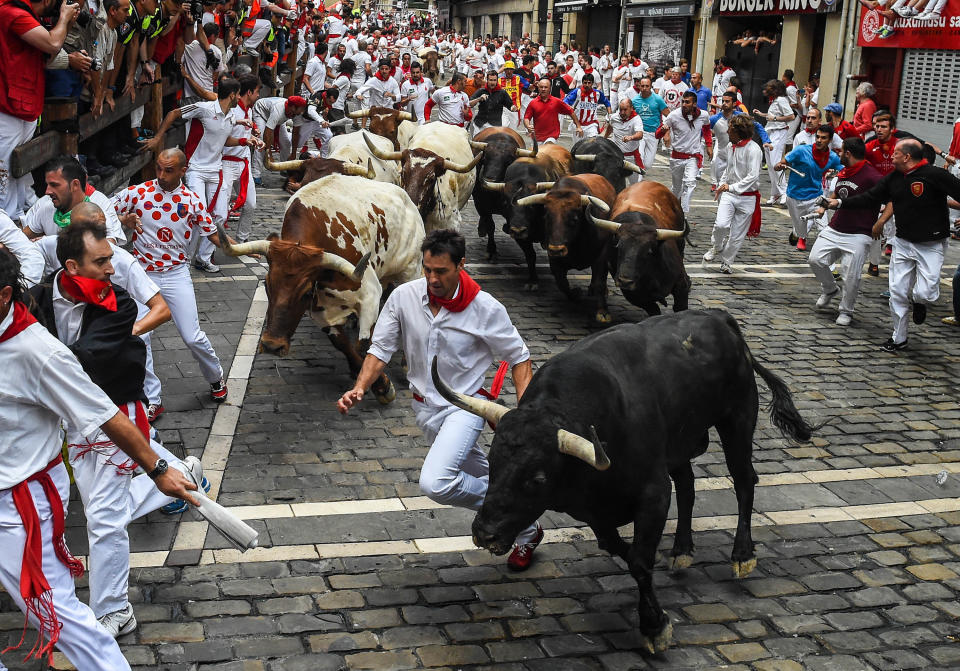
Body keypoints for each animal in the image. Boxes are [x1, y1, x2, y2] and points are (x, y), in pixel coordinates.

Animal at [436, 312, 816, 652]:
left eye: (538, 478)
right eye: (491, 463)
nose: (484, 533)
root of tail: (720, 318)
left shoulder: (654, 493)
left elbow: (638, 561)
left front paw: (654, 626)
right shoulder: (595, 513)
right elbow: (621, 548)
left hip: (737, 418)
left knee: (743, 480)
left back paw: (742, 555)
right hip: (678, 445)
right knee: (689, 486)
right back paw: (682, 551)